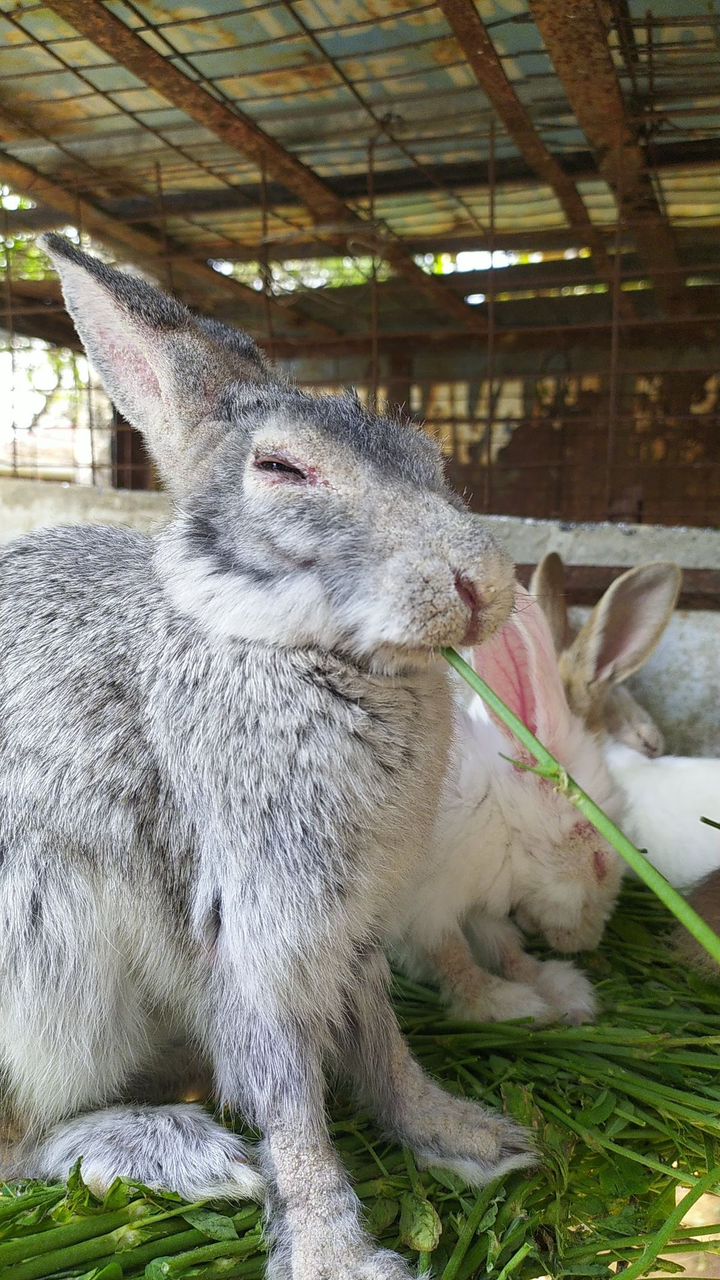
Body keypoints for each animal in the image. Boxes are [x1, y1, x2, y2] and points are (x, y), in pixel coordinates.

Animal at [0, 234, 534, 1280]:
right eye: (285, 469)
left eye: (430, 458)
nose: (483, 587)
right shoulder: (263, 926)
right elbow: (290, 1096)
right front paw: (338, 1256)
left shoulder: (353, 929)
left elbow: (384, 1047)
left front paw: (473, 1139)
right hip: (43, 954)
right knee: (14, 1146)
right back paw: (178, 1153)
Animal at [392, 585, 626, 1026]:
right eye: (599, 862)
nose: (585, 942)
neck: (498, 813)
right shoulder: (425, 910)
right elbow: (454, 960)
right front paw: (508, 1004)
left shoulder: (479, 910)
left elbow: (506, 949)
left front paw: (564, 992)